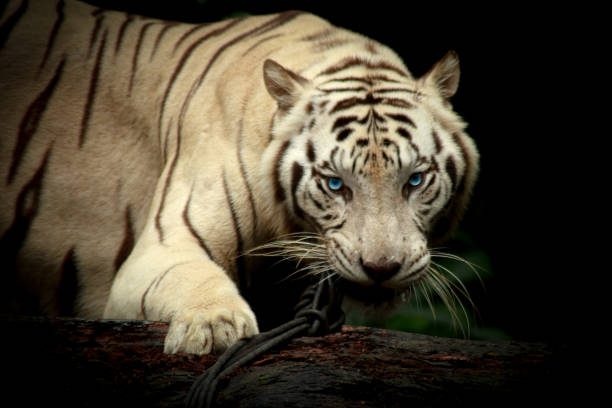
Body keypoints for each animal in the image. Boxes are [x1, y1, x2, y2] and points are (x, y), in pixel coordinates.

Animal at [0, 0, 478, 354]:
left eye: (415, 180)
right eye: (335, 184)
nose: (381, 269)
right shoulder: (160, 250)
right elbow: (193, 277)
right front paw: (214, 327)